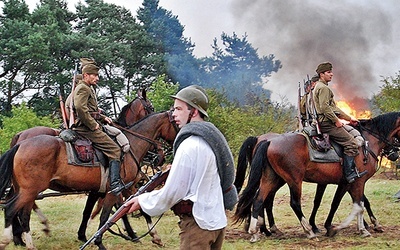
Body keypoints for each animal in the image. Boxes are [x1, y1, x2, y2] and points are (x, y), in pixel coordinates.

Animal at [0, 111, 178, 250]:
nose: (161, 157)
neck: (129, 147)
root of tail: (20, 143)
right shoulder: (118, 189)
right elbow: (107, 215)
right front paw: (100, 241)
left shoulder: (101, 190)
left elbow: (91, 212)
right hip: (30, 190)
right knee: (12, 210)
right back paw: (15, 240)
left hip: (24, 190)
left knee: (21, 212)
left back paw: (23, 240)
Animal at [233, 112, 400, 240]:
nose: (395, 154)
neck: (366, 142)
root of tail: (268, 141)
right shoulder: (356, 181)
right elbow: (356, 204)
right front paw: (360, 228)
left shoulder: (344, 182)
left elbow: (352, 203)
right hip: (293, 180)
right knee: (293, 203)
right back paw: (306, 231)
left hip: (272, 178)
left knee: (259, 199)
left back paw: (257, 231)